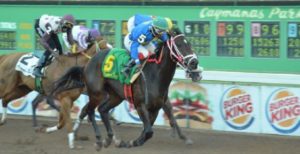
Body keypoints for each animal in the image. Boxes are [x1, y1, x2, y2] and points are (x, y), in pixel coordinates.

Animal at [52, 26, 202, 150]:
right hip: (96, 93)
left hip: (115, 96)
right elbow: (148, 131)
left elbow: (147, 131)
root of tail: (87, 64)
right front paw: (129, 143)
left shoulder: (155, 108)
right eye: (180, 44)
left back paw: (109, 138)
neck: (154, 76)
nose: (194, 63)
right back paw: (99, 140)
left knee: (102, 110)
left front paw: (127, 143)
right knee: (89, 110)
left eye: (189, 44)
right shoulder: (140, 105)